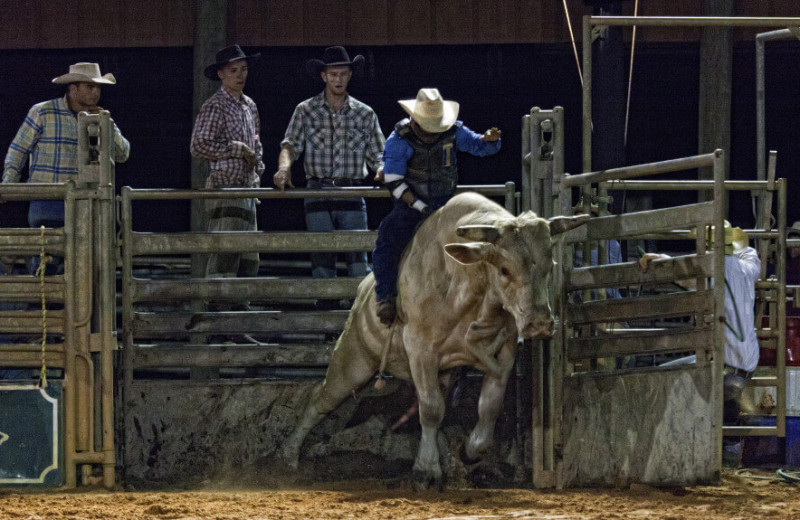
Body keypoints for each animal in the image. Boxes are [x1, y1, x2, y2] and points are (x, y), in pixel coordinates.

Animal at [276, 191, 588, 488]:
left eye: (550, 266)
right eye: (504, 270)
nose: (540, 324)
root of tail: (362, 291)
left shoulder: (504, 354)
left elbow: (488, 408)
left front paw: (468, 452)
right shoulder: (421, 350)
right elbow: (431, 410)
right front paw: (426, 471)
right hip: (352, 363)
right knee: (321, 399)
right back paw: (288, 457)